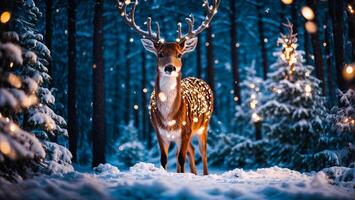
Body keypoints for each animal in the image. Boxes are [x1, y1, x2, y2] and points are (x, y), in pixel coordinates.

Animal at [117, 0, 220, 175]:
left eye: (179, 54)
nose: (170, 67)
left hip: (204, 124)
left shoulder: (185, 131)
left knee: (203, 151)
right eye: (160, 54)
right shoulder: (159, 132)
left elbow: (181, 159)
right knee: (191, 150)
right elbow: (164, 160)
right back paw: (193, 173)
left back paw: (205, 174)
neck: (169, 119)